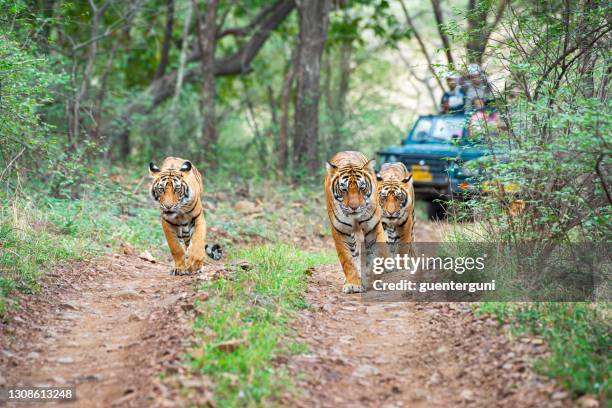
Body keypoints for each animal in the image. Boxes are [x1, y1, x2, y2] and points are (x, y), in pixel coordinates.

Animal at [326, 151, 388, 294]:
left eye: (362, 188)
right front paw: (353, 284)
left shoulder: (373, 227)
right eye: (344, 190)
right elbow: (347, 260)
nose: (354, 207)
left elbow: (379, 255)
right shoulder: (340, 230)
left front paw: (370, 278)